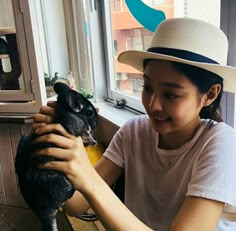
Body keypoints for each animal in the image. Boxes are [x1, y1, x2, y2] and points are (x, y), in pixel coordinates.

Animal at [14, 82, 97, 231]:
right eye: (90, 112)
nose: (97, 120)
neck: (63, 107)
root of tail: (43, 211)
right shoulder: (75, 124)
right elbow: (85, 131)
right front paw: (92, 140)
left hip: (23, 139)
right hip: (63, 183)